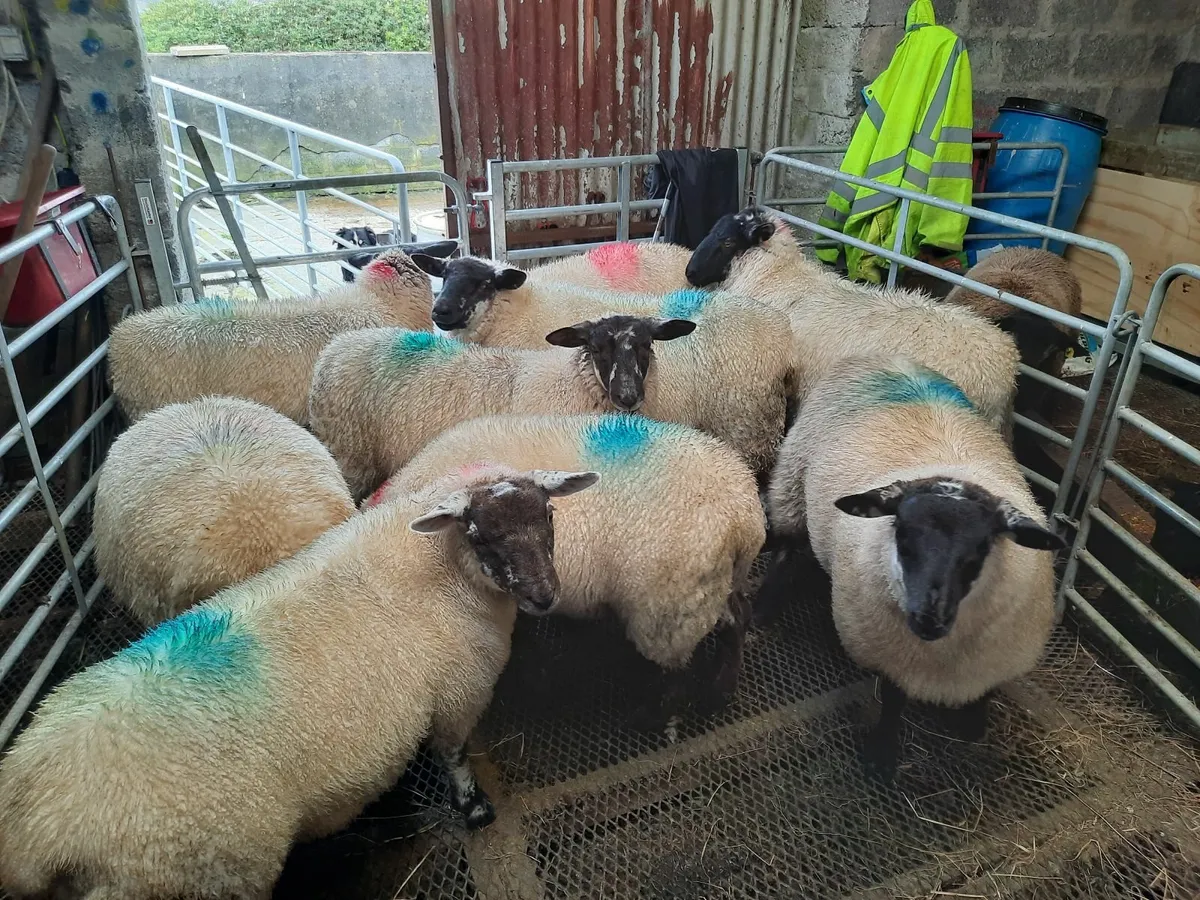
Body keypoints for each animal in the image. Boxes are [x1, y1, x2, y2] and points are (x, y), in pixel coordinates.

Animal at [0, 465, 598, 900]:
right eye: (479, 534)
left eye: (548, 513)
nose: (544, 595)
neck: (446, 572)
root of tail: (32, 829)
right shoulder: (457, 695)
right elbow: (455, 758)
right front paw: (476, 811)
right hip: (206, 872)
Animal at [309, 296, 793, 498]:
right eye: (595, 347)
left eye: (646, 345)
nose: (628, 396)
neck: (573, 384)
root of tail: (335, 349)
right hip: (351, 456)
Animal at [369, 412, 766, 716]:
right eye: (479, 539)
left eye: (550, 514)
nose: (544, 596)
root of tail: (744, 516)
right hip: (713, 587)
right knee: (739, 616)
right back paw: (722, 690)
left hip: (670, 610)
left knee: (678, 666)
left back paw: (661, 709)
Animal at [761, 356, 1065, 781]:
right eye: (902, 536)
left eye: (979, 551)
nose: (928, 618)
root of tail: (888, 358)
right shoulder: (890, 656)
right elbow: (893, 700)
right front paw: (882, 754)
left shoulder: (996, 660)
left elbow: (982, 697)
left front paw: (972, 725)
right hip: (792, 480)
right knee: (788, 546)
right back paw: (765, 607)